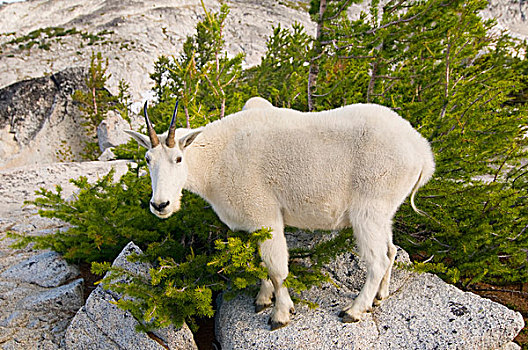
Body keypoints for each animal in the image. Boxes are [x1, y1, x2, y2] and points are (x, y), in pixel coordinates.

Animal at [124, 98, 434, 330]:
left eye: (178, 158)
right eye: (148, 159)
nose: (160, 205)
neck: (216, 159)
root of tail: (423, 153)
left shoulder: (266, 216)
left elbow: (276, 268)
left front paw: (280, 314)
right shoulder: (252, 224)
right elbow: (258, 263)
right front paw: (262, 299)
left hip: (368, 210)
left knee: (378, 260)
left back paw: (354, 310)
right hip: (384, 212)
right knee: (391, 250)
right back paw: (380, 296)